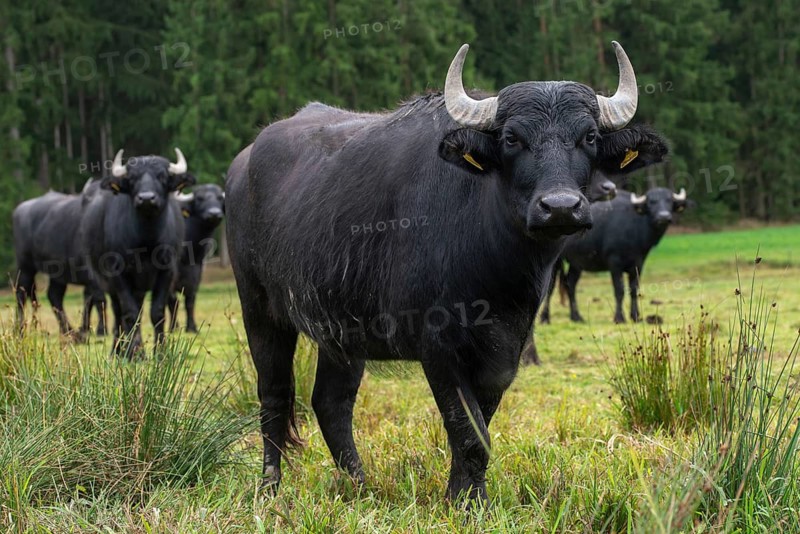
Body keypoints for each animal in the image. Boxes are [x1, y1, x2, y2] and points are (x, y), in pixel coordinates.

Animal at [80, 149, 194, 358]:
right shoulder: (118, 273)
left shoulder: (167, 271)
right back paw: (118, 350)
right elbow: (129, 313)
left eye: (162, 176)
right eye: (132, 178)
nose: (146, 198)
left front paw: (160, 352)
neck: (146, 240)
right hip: (107, 281)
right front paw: (134, 353)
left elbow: (157, 312)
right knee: (119, 312)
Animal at [167, 184, 225, 332]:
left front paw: (192, 327)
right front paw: (172, 328)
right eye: (200, 198)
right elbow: (173, 302)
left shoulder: (196, 274)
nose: (214, 214)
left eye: (219, 198)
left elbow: (190, 301)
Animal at [226, 42, 668, 504]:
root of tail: (242, 166)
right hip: (259, 309)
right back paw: (270, 487)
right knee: (274, 396)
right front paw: (468, 502)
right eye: (512, 138)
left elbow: (478, 431)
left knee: (331, 402)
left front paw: (464, 495)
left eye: (590, 137)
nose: (560, 207)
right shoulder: (438, 346)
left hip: (340, 329)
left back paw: (360, 485)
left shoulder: (504, 352)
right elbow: (466, 430)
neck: (498, 270)